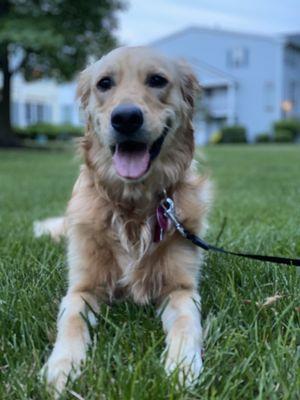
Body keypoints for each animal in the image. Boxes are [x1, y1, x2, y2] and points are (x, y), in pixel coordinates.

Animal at [36, 45, 211, 392]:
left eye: (157, 80)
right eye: (104, 83)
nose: (126, 118)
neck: (133, 205)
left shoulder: (181, 288)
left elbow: (187, 323)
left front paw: (182, 366)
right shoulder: (82, 289)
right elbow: (71, 322)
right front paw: (62, 367)